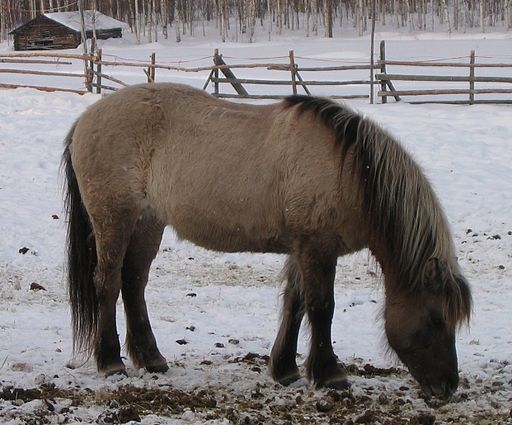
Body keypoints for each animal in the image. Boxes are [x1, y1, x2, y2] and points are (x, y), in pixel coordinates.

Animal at [63, 82, 472, 398]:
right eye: (436, 319)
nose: (448, 386)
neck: (351, 171)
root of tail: (85, 120)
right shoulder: (318, 247)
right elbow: (322, 307)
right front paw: (330, 374)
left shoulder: (303, 248)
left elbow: (296, 303)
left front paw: (286, 369)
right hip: (115, 220)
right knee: (107, 284)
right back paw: (111, 362)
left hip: (148, 223)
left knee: (134, 284)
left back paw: (152, 359)